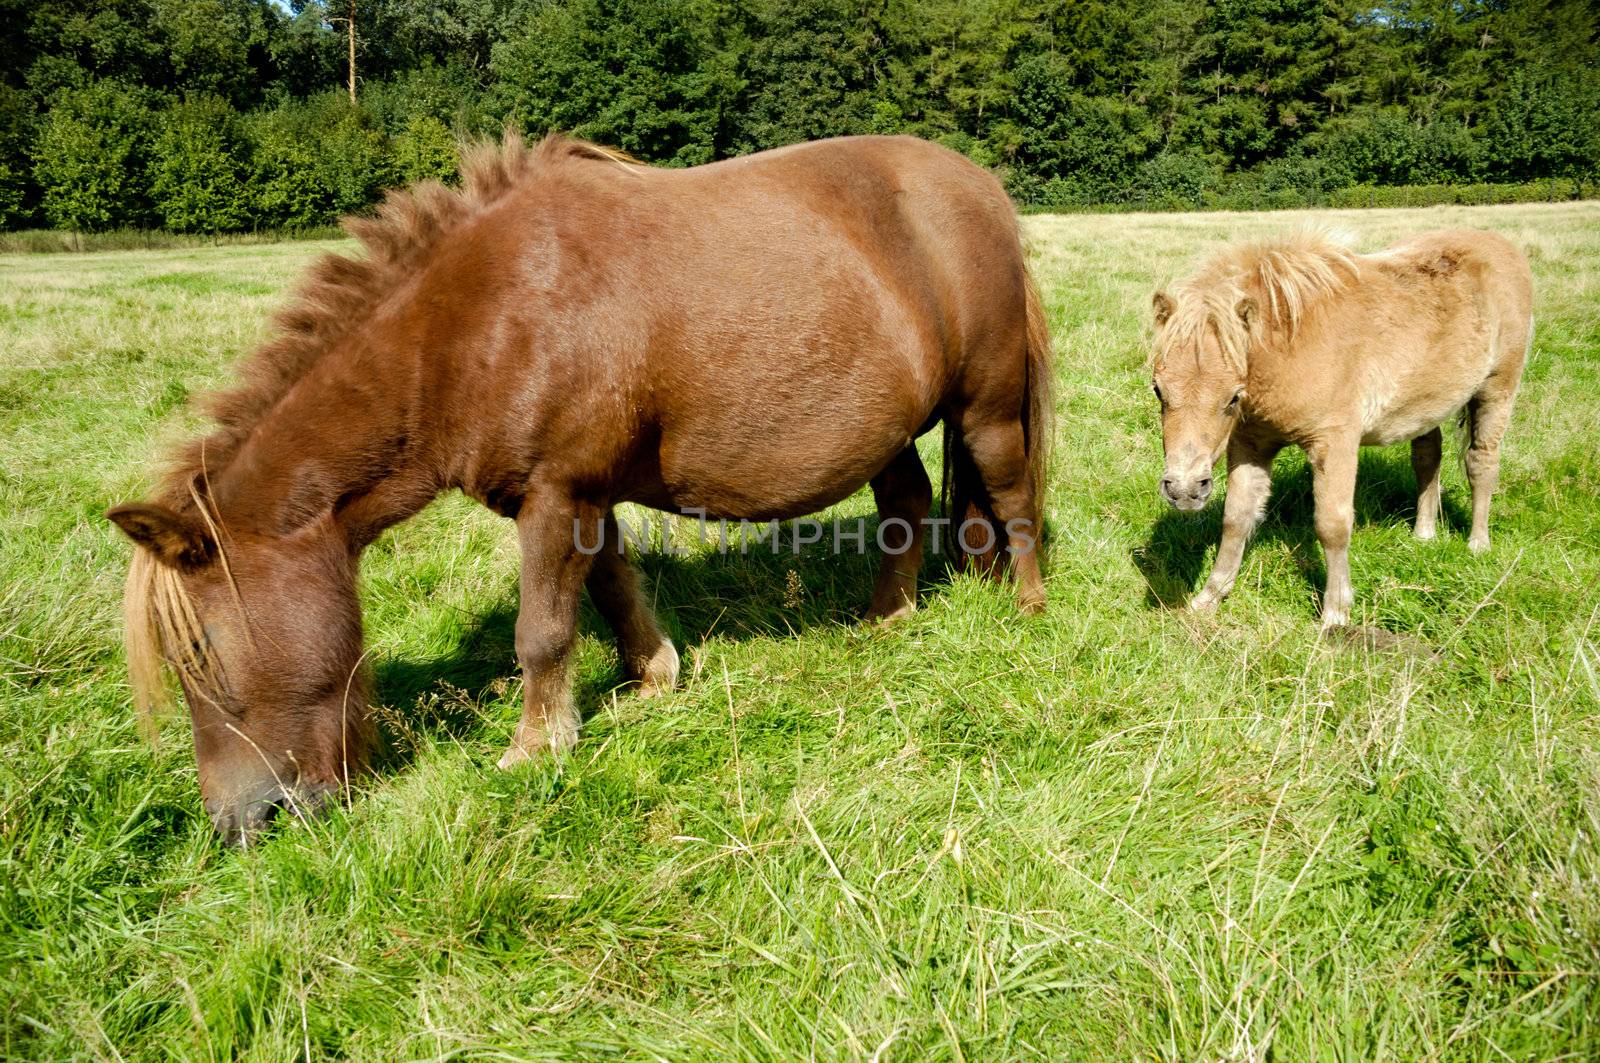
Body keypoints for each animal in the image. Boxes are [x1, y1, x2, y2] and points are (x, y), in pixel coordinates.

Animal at [1152, 224, 1536, 624]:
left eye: (1232, 397)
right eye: (1158, 390)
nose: (1184, 490)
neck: (1293, 344)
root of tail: (1501, 244)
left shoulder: (1334, 443)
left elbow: (1332, 525)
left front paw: (1336, 612)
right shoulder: (1251, 442)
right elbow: (1236, 517)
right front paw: (1210, 596)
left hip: (1497, 390)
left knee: (1481, 463)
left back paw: (1478, 543)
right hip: (1424, 404)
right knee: (1428, 458)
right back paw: (1424, 534)